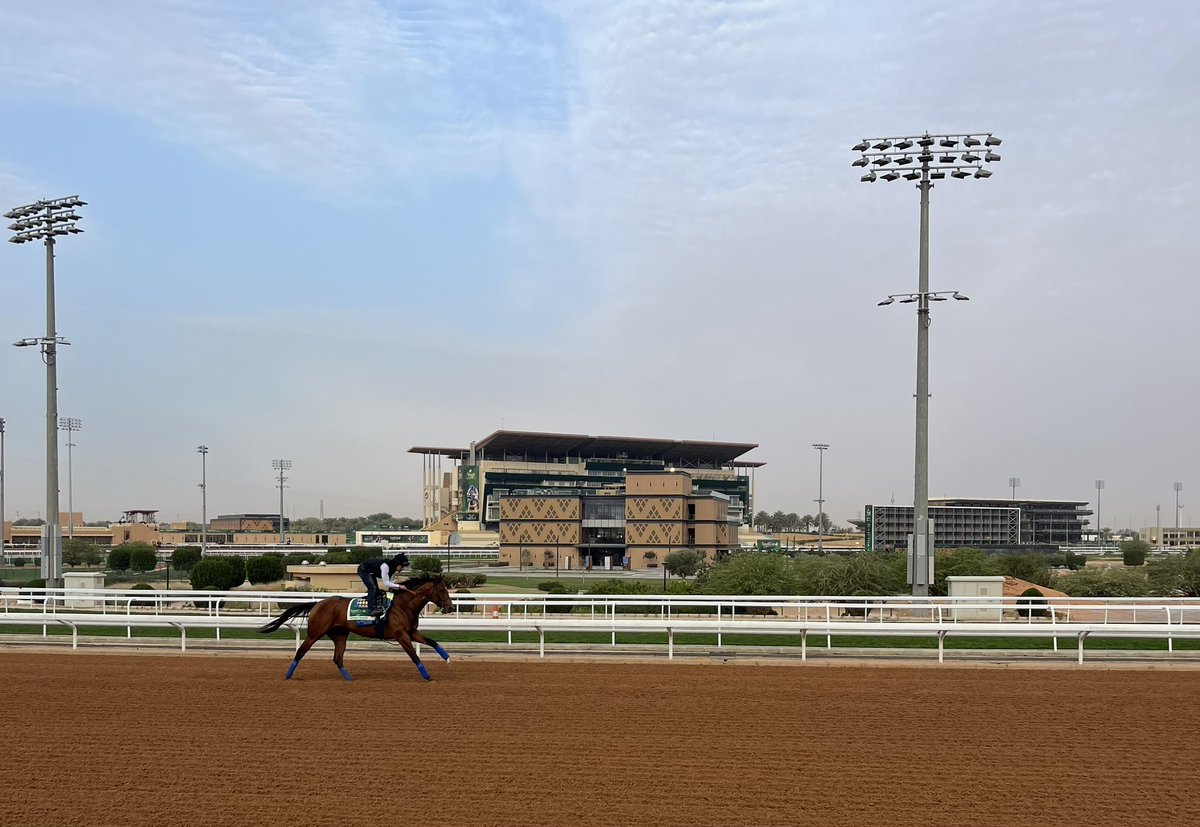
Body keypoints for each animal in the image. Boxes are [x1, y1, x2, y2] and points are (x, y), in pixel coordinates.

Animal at [258, 571, 453, 681]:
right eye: (442, 590)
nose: (450, 608)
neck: (403, 605)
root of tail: (317, 603)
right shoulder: (401, 636)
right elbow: (414, 656)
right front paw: (426, 675)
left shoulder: (411, 632)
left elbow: (433, 642)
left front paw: (447, 658)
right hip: (315, 633)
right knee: (300, 651)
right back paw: (288, 675)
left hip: (340, 635)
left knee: (337, 658)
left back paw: (349, 678)